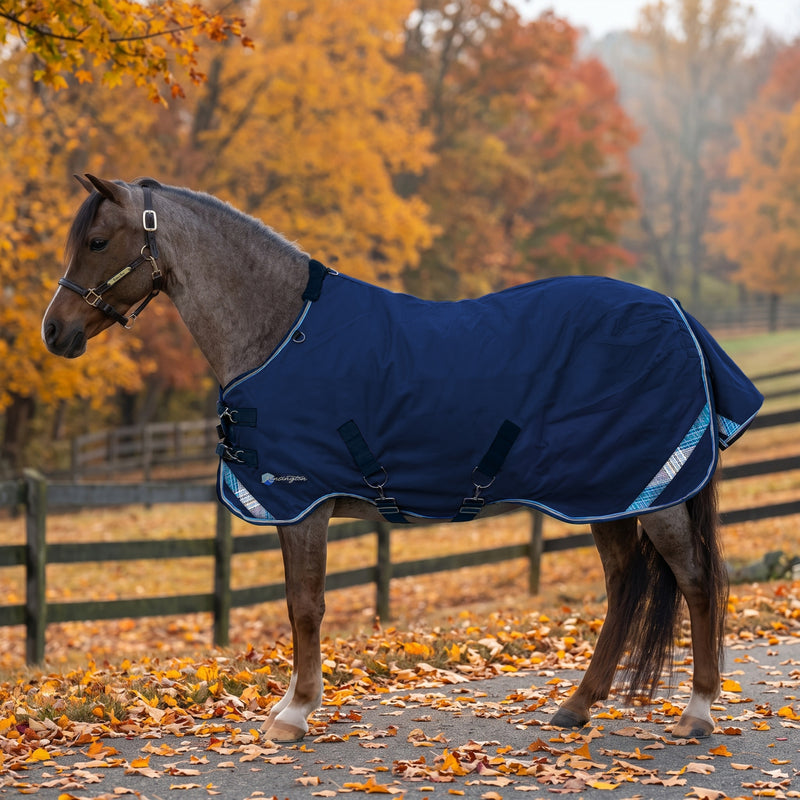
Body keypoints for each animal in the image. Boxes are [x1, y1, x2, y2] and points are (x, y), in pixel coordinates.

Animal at [42, 175, 762, 743]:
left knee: (696, 582)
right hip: (607, 494)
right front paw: (289, 705)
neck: (279, 332)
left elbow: (305, 606)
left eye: (98, 241)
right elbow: (296, 604)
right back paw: (577, 706)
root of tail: (677, 314)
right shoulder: (294, 509)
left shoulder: (301, 503)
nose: (55, 331)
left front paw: (294, 715)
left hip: (655, 494)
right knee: (624, 584)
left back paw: (697, 711)